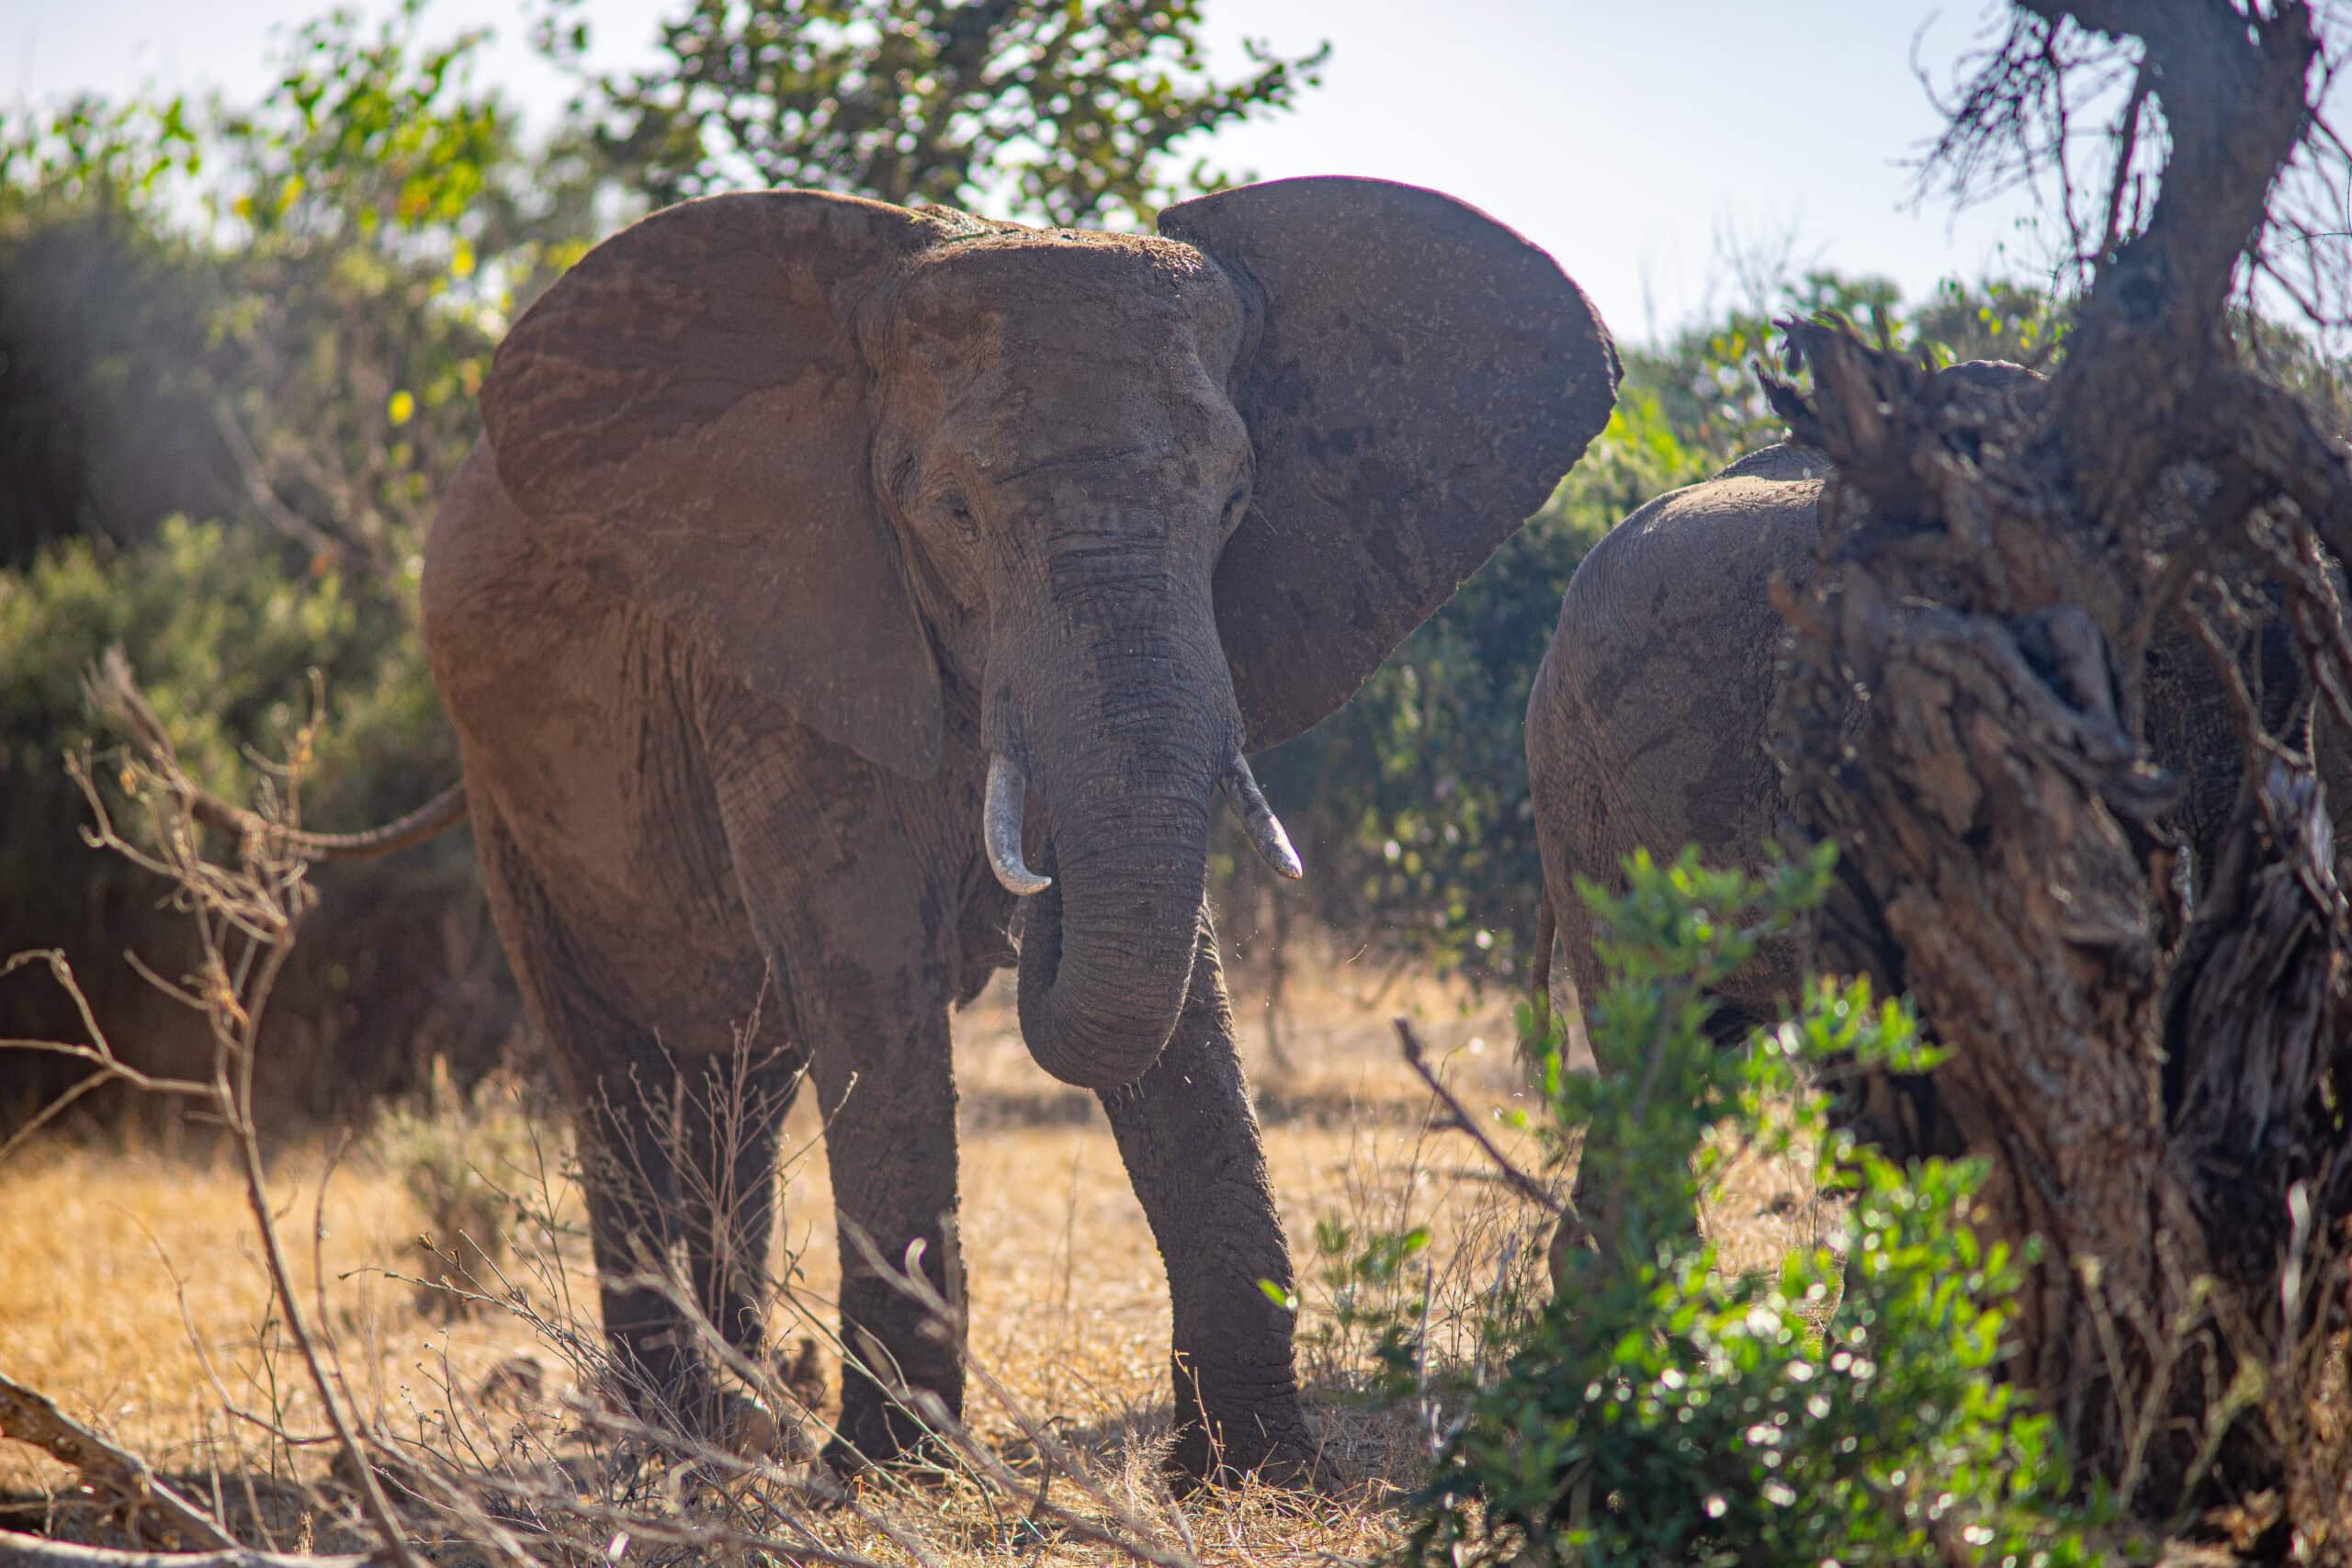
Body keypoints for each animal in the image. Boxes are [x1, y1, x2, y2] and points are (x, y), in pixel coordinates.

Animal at [382, 177, 1620, 1483]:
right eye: (956, 512)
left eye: (1234, 504)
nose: (1022, 914)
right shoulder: (779, 636)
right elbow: (866, 969)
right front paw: (888, 1475)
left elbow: (1178, 989)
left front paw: (1251, 1470)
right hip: (504, 780)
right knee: (617, 1070)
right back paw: (677, 1435)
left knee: (742, 1081)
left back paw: (737, 1421)